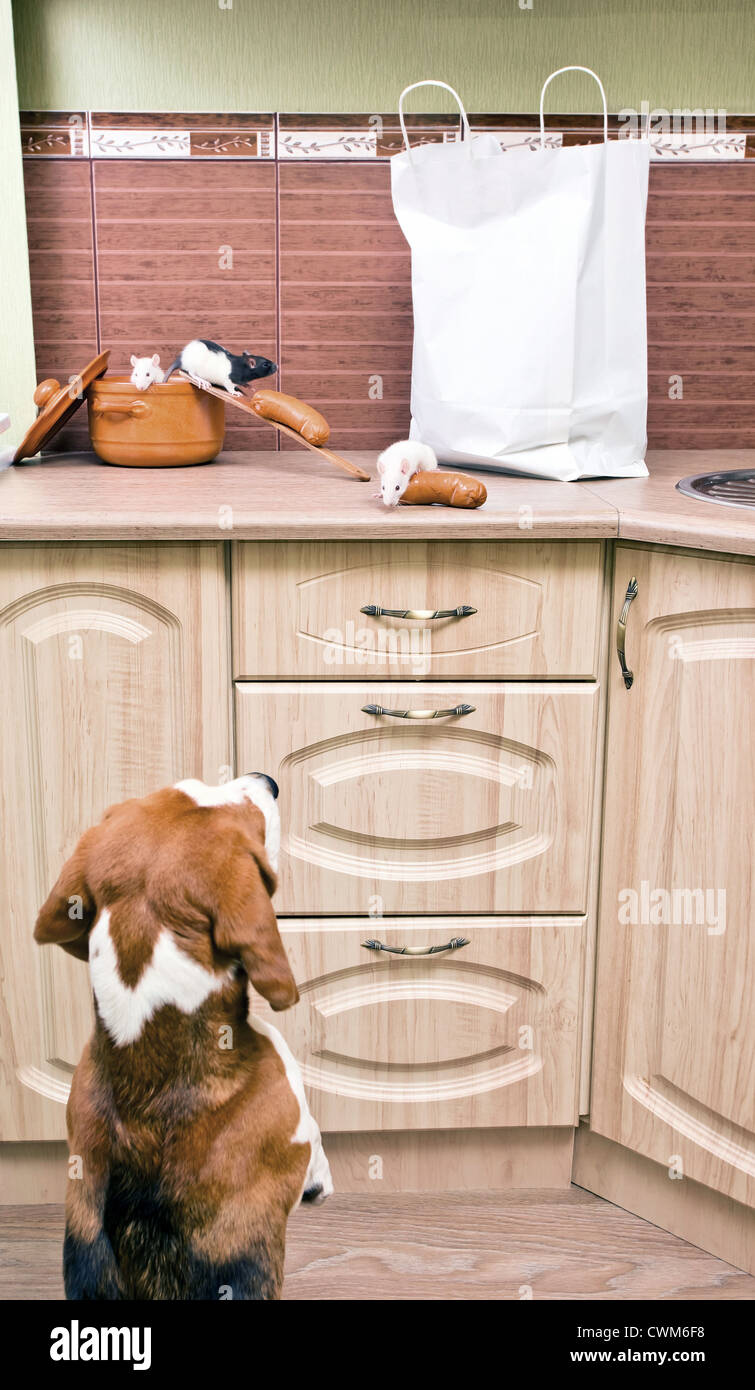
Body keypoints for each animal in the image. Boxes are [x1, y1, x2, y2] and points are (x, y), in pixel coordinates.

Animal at [34, 778, 332, 1295]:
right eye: (254, 826)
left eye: (189, 785)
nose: (268, 781)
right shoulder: (297, 1127)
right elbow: (315, 1149)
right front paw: (323, 1182)